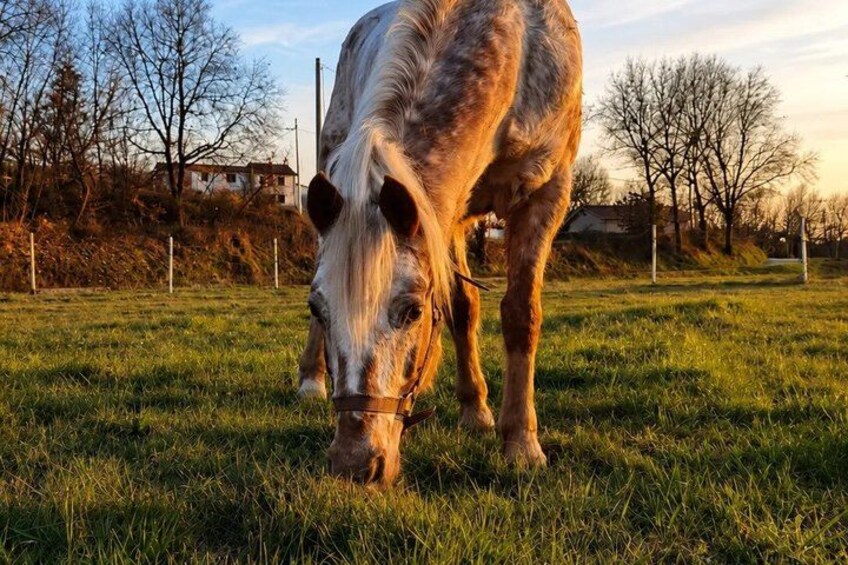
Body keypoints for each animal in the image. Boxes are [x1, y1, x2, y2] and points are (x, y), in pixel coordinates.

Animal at [298, 0, 582, 485]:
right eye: (317, 307)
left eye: (412, 311)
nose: (355, 463)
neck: (513, 49)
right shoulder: (441, 211)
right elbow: (462, 308)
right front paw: (481, 413)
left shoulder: (545, 194)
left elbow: (518, 313)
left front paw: (519, 441)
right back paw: (311, 379)